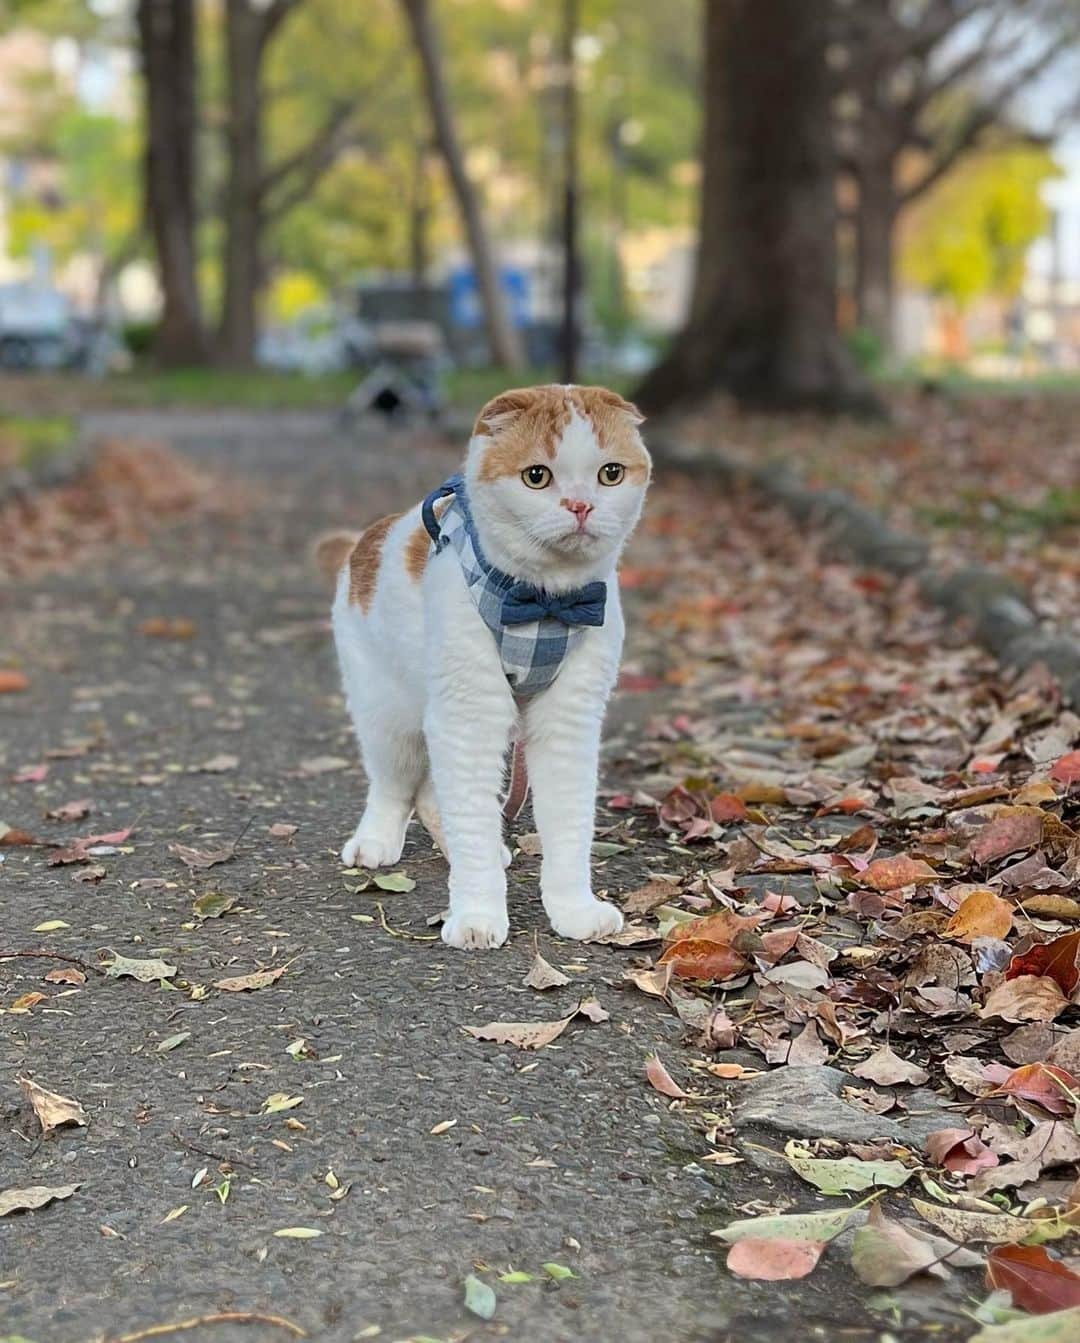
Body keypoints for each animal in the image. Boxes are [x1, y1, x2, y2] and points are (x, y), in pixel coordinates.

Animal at [311, 384, 650, 950]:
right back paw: (375, 841)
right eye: (537, 476)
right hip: (389, 717)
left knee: (434, 795)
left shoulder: (567, 725)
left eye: (610, 473)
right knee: (396, 786)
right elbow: (470, 818)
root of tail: (363, 541)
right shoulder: (468, 718)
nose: (580, 505)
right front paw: (477, 915)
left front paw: (573, 910)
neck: (544, 604)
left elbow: (568, 826)